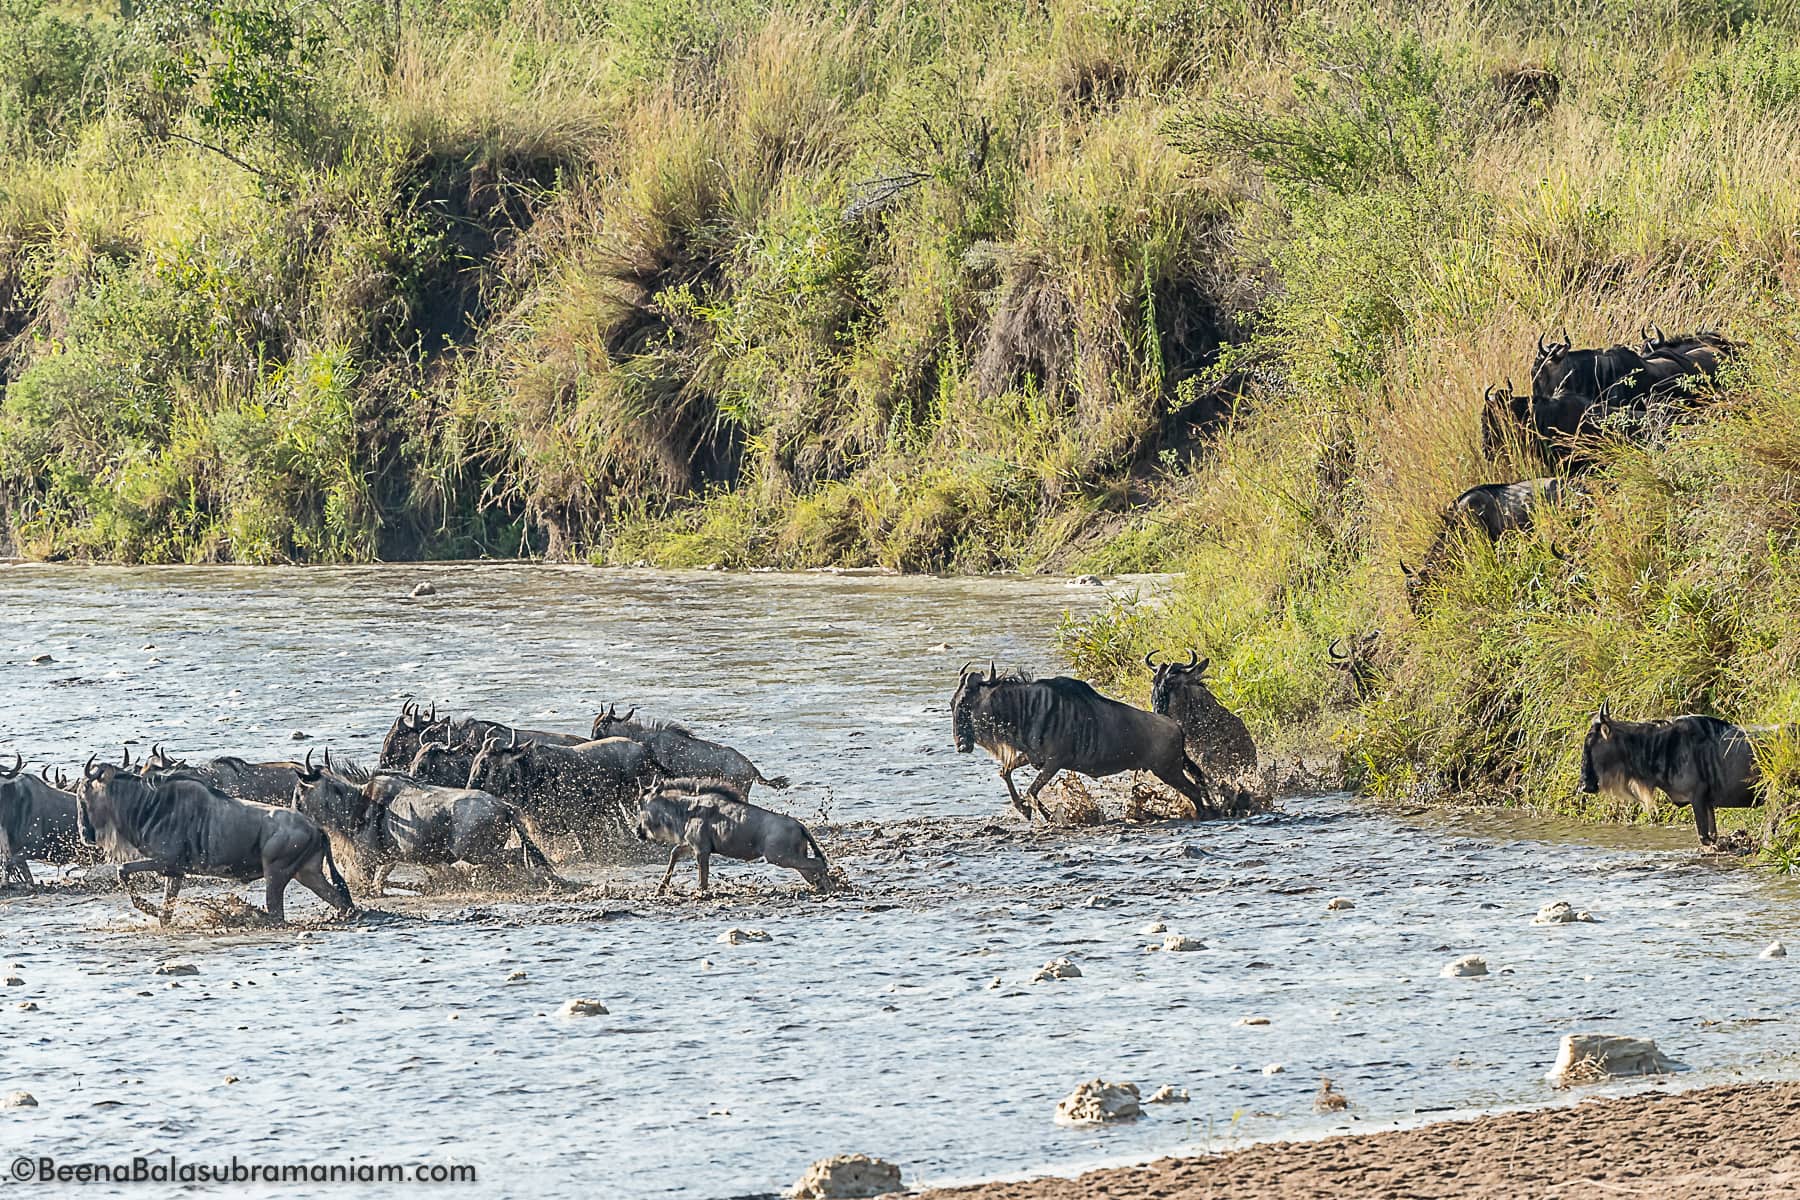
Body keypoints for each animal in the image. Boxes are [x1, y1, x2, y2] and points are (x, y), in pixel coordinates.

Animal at [633, 784, 828, 895]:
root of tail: (800, 825)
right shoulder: (691, 845)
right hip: (792, 858)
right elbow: (674, 853)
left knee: (818, 863)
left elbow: (703, 879)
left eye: (641, 805)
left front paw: (700, 893)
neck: (687, 810)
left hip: (779, 857)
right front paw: (661, 888)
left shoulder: (701, 850)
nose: (638, 831)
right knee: (814, 869)